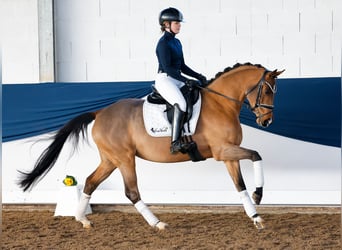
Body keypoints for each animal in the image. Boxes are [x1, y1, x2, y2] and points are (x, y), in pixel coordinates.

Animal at [20, 62, 284, 230]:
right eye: (266, 90)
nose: (266, 122)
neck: (221, 104)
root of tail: (100, 112)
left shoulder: (228, 155)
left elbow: (239, 185)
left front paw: (255, 216)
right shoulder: (222, 152)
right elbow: (256, 155)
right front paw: (259, 195)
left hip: (110, 160)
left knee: (90, 182)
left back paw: (81, 219)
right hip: (125, 159)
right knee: (131, 192)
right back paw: (157, 223)